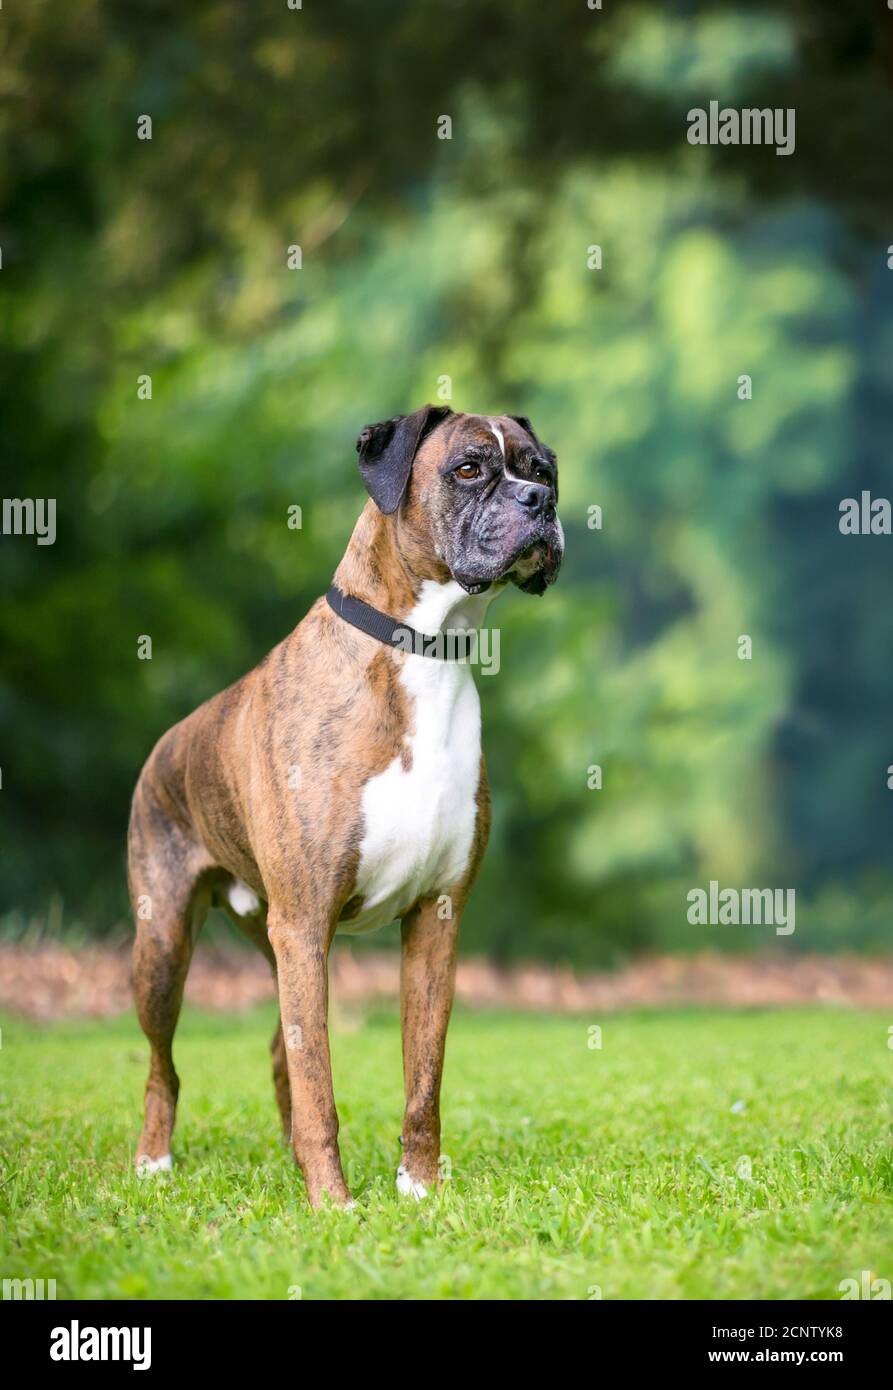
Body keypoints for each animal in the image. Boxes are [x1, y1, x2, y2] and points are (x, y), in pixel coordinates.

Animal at [128, 405, 559, 1206]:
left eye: (541, 470)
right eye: (469, 469)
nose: (540, 503)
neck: (422, 652)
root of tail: (164, 744)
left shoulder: (434, 922)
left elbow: (422, 1078)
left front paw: (420, 1189)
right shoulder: (305, 923)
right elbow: (321, 1085)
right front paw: (333, 1204)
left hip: (273, 945)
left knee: (279, 1049)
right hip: (166, 946)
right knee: (163, 1065)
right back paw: (153, 1160)